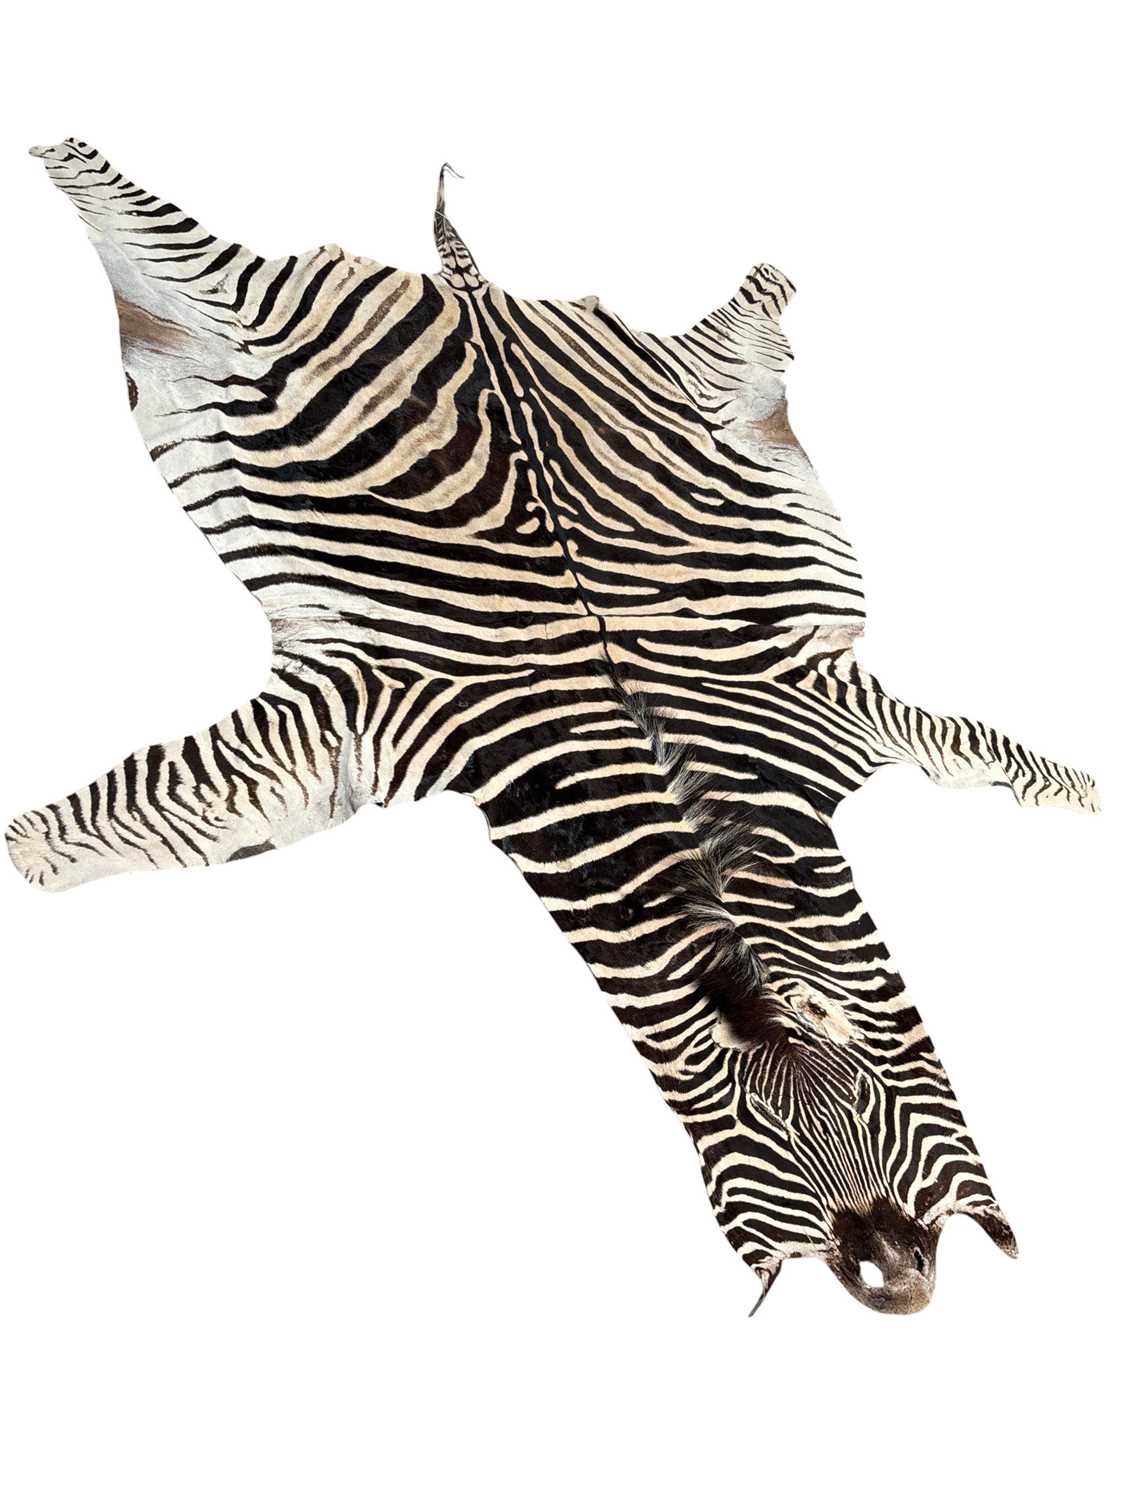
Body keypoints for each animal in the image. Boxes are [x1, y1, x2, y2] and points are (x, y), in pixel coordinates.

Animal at [8, 139, 1098, 1315]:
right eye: (754, 1139)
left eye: (868, 1105)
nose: (897, 1288)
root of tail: (468, 292)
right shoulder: (368, 726)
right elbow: (109, 824)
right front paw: (29, 855)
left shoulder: (825, 701)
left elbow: (1019, 768)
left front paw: (1086, 796)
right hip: (214, 306)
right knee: (105, 190)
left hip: (704, 373)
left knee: (760, 294)